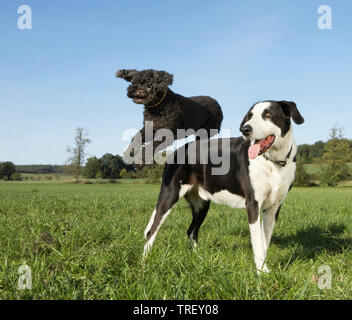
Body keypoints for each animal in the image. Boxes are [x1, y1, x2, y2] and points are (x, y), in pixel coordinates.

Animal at [142, 99, 304, 272]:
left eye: (267, 115)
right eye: (250, 116)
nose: (245, 129)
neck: (273, 161)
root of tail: (176, 151)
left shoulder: (274, 208)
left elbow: (264, 242)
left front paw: (264, 269)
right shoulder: (253, 205)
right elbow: (258, 243)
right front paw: (261, 272)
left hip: (201, 204)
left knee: (191, 231)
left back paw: (200, 259)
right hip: (170, 195)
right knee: (152, 231)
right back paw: (144, 264)